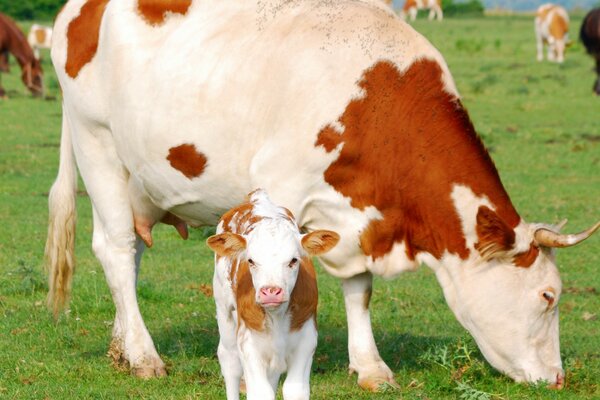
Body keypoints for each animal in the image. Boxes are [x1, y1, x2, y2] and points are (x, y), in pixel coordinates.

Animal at [206, 190, 340, 400]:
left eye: (293, 260)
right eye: (251, 261)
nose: (271, 292)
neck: (277, 317)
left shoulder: (307, 339)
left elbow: (295, 389)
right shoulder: (248, 341)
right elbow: (260, 391)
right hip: (223, 308)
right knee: (230, 361)